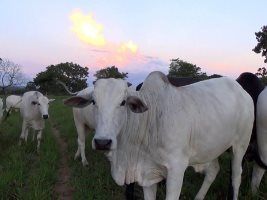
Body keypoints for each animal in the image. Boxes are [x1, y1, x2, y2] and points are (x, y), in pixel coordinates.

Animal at [64, 71, 255, 199]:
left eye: (123, 102)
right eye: (93, 102)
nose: (102, 142)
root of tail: (241, 89)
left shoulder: (176, 170)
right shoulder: (147, 173)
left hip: (240, 145)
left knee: (236, 176)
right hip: (210, 148)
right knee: (213, 170)